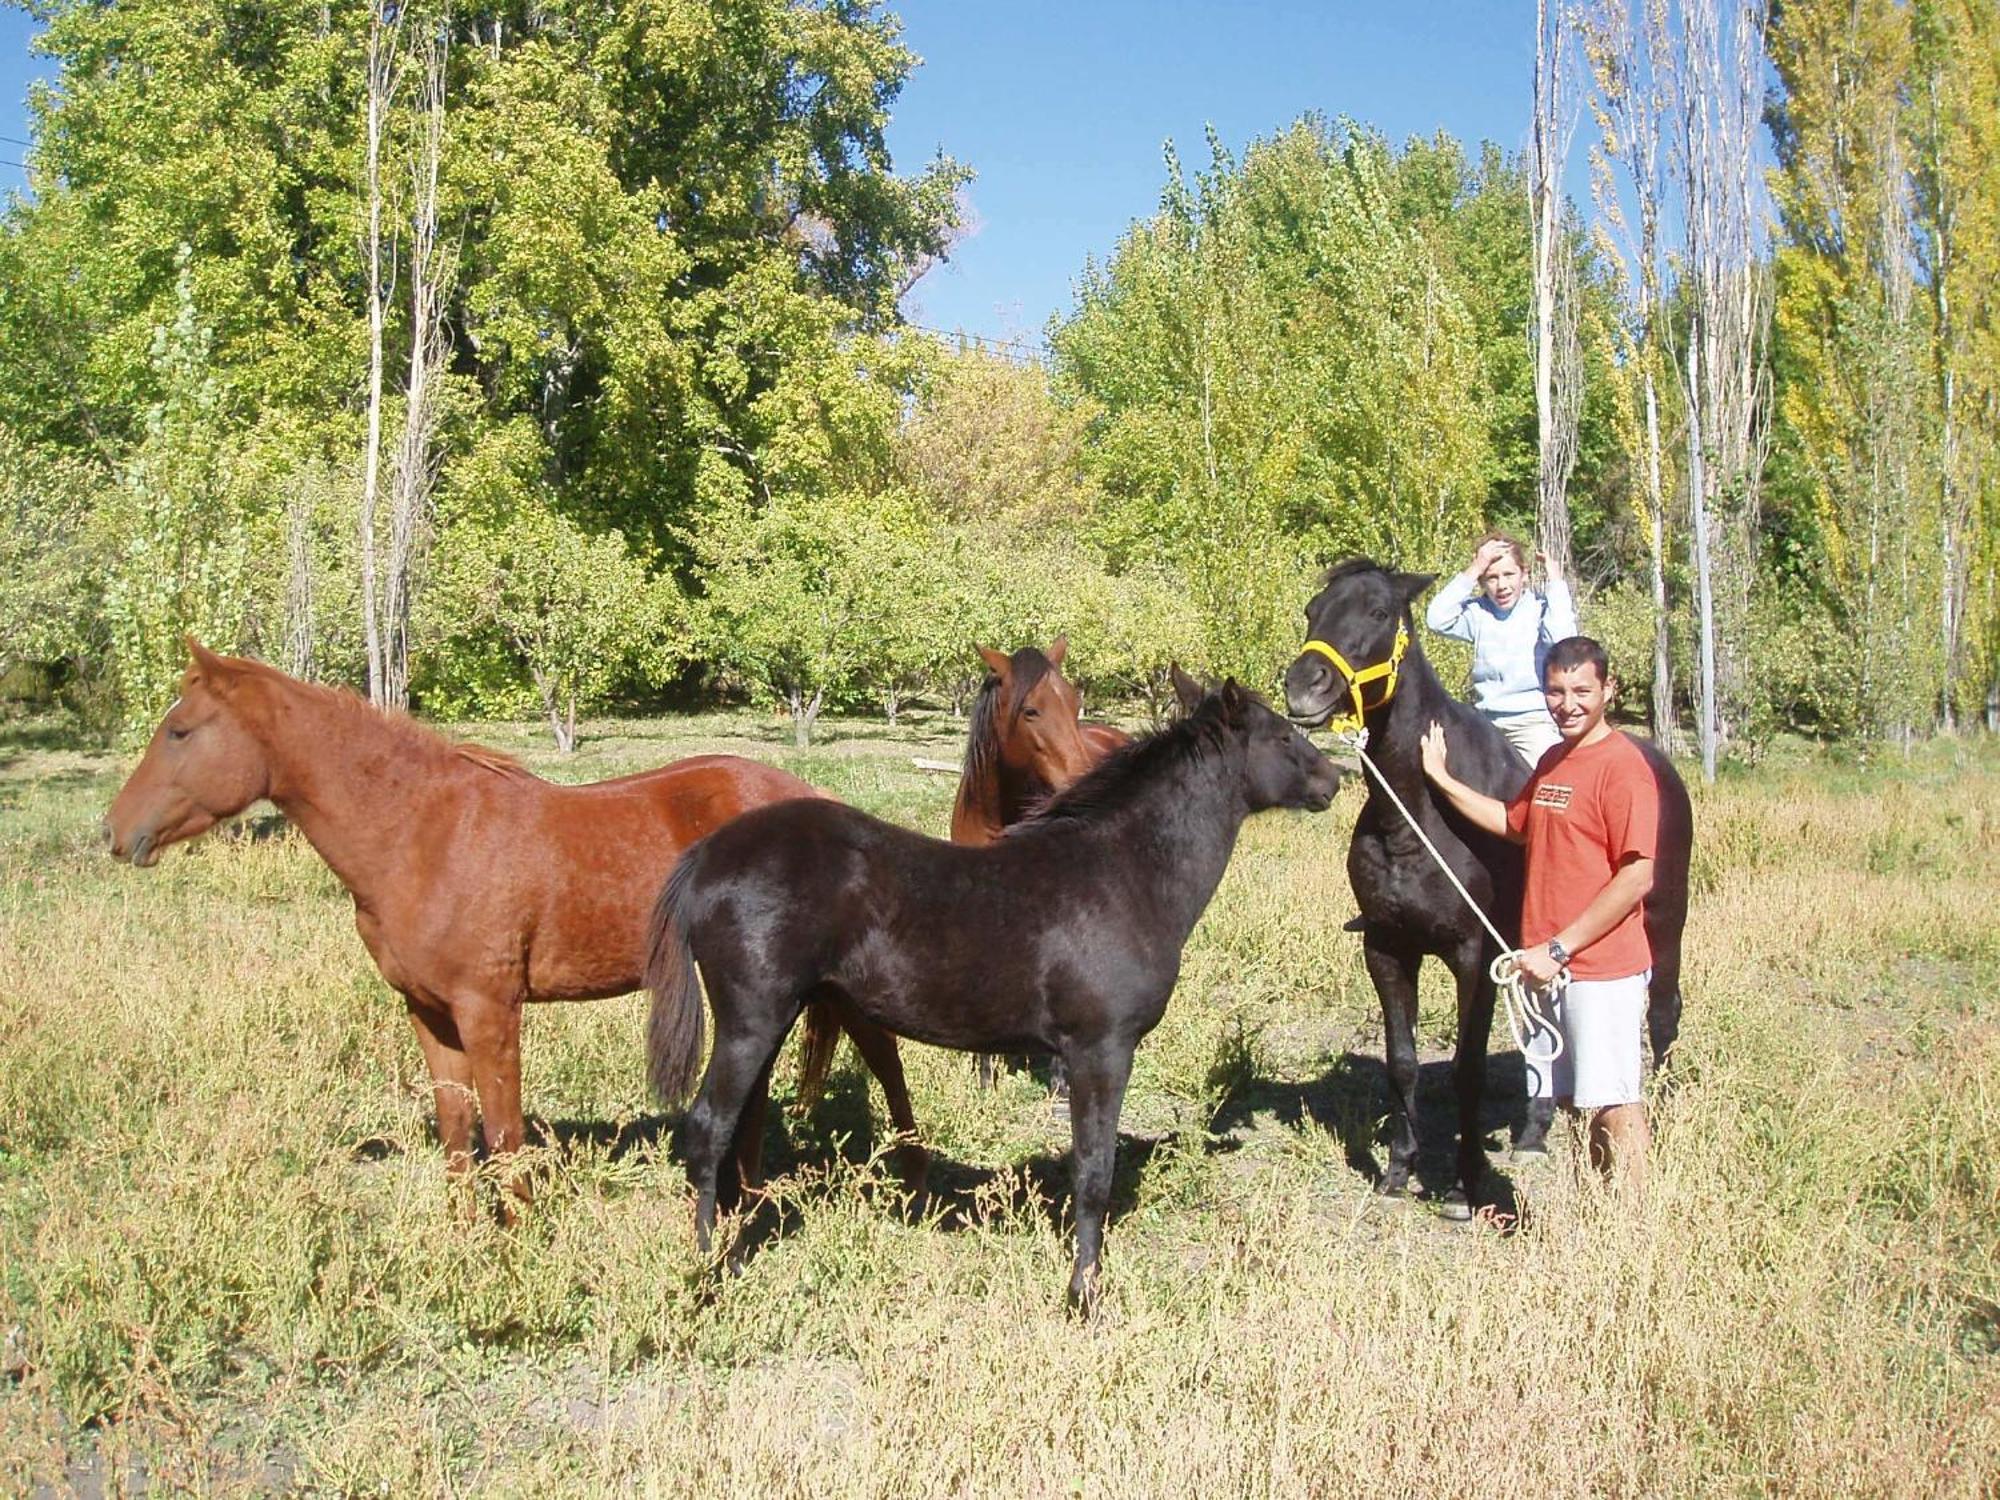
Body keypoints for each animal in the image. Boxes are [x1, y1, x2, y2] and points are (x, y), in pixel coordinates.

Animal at [103, 640, 928, 1216]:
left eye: (180, 732)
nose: (114, 832)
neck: (420, 833)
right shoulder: (428, 1011)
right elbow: (456, 1129)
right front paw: (465, 1236)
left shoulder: (489, 1009)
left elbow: (503, 1131)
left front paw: (520, 1239)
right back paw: (744, 1198)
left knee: (883, 1055)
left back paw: (909, 1180)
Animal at [648, 676, 1336, 1312]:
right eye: (1282, 736)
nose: (1332, 779)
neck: (1122, 875)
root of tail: (707, 856)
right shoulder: (1102, 1049)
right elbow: (1094, 1170)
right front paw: (1083, 1292)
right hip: (751, 1021)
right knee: (708, 1127)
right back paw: (706, 1269)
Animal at [1280, 560, 1688, 1216]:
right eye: (1313, 610)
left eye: (1377, 612)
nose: (1303, 685)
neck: (1416, 817)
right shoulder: (1387, 949)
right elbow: (1403, 1062)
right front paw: (1400, 1170)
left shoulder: (1472, 954)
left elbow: (1467, 1067)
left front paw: (1463, 1185)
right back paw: (1534, 1132)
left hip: (1663, 923)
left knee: (1664, 1012)